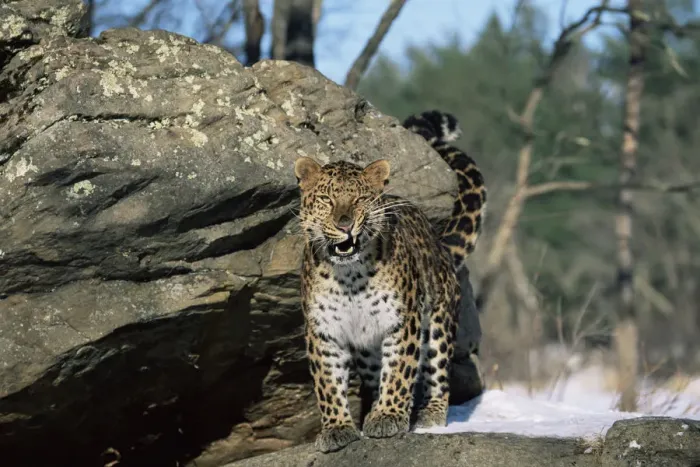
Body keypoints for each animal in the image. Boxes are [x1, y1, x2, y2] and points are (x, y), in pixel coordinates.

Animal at [293, 110, 486, 453]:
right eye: (327, 200)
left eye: (359, 200)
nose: (344, 224)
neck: (349, 276)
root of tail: (439, 241)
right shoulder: (323, 330)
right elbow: (328, 382)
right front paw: (338, 428)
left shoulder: (402, 321)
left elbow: (399, 370)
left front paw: (388, 418)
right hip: (367, 349)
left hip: (439, 322)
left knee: (438, 371)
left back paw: (429, 414)